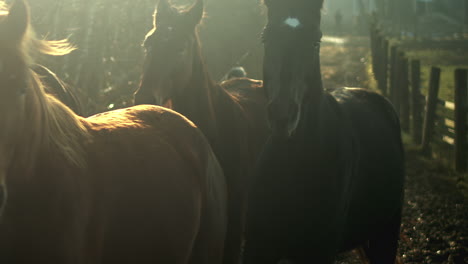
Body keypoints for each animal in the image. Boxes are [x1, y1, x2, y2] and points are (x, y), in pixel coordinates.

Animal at [243, 0, 404, 264]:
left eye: (315, 41)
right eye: (265, 38)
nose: (283, 116)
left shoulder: (320, 250)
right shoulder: (257, 247)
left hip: (386, 234)